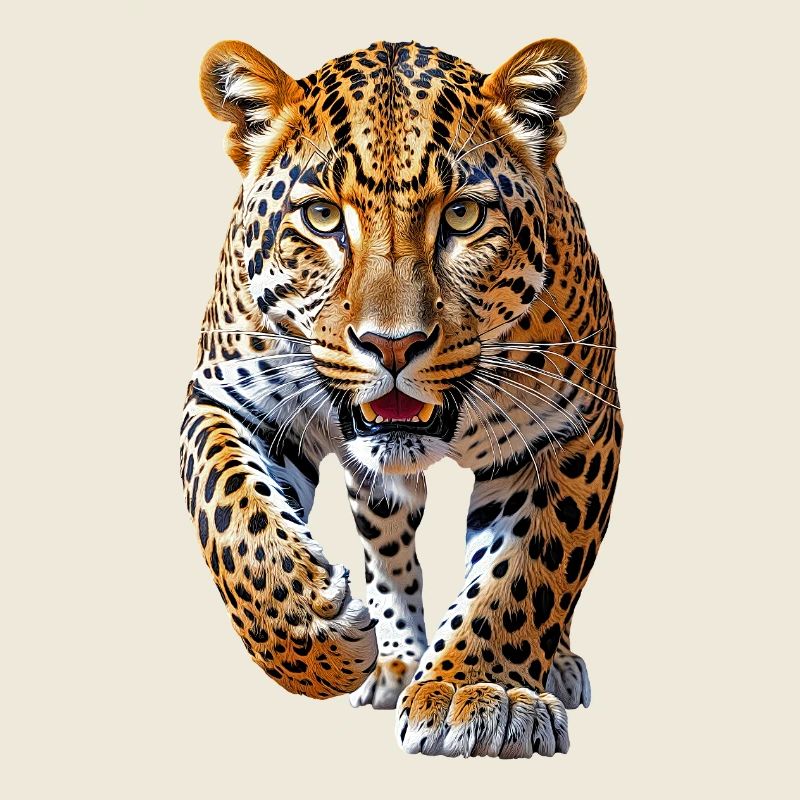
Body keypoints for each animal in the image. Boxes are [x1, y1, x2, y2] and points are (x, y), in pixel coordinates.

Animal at [180, 37, 622, 759]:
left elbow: (526, 572)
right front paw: (316, 631)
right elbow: (234, 519)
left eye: (464, 216)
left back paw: (552, 664)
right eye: (322, 216)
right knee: (387, 542)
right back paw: (392, 658)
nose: (393, 346)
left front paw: (480, 691)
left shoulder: (573, 426)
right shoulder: (229, 398)